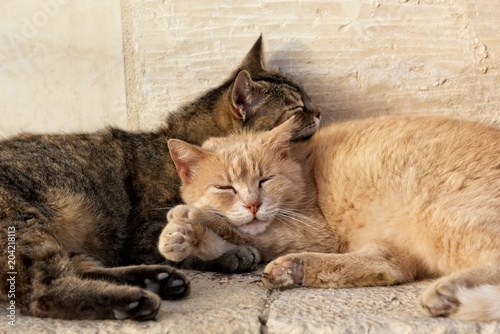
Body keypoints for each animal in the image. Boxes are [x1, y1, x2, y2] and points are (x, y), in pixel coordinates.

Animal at [0, 37, 320, 320]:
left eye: (307, 99)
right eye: (296, 108)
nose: (318, 111)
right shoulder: (143, 233)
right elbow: (183, 241)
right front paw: (228, 254)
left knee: (77, 268)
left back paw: (156, 280)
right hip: (25, 224)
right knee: (41, 291)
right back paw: (132, 301)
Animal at [161, 116, 500, 322]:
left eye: (265, 180)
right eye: (225, 187)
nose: (253, 204)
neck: (302, 167)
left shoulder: (314, 230)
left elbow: (251, 231)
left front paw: (193, 217)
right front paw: (184, 237)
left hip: (442, 216)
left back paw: (449, 293)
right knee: (390, 266)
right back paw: (293, 268)